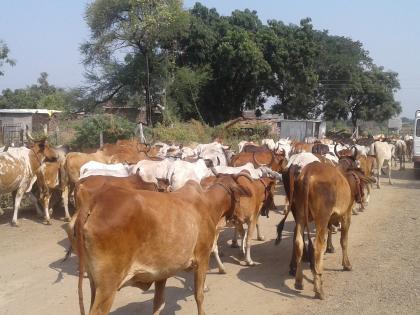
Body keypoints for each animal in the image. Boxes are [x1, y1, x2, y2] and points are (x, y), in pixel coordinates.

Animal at [74, 174, 251, 314]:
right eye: (238, 197)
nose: (242, 217)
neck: (208, 204)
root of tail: (95, 200)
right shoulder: (202, 257)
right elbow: (199, 296)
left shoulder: (162, 272)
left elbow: (158, 303)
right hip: (107, 287)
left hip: (94, 284)